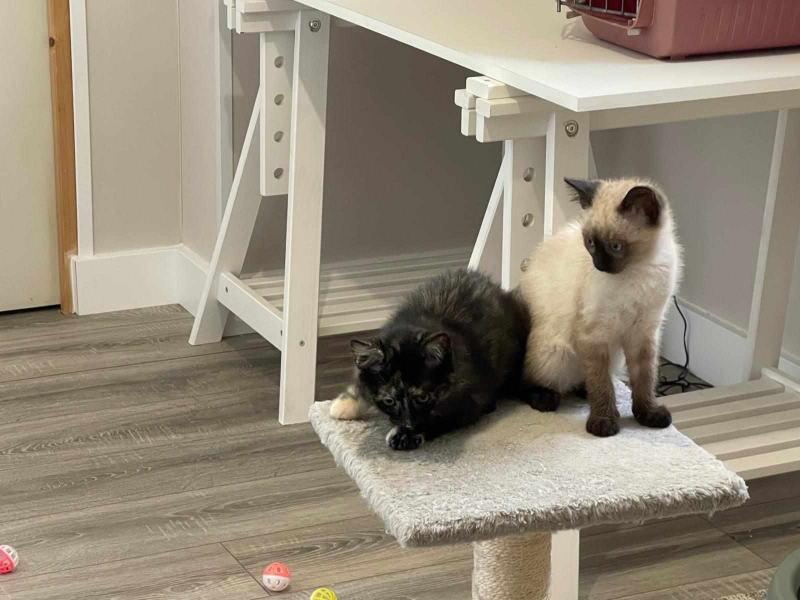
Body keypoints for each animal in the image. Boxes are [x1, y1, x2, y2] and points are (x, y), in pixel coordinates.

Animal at [329, 268, 532, 450]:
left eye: (423, 398)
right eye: (389, 401)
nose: (409, 423)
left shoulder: (472, 401)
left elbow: (440, 418)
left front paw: (405, 436)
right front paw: (344, 403)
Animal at [519, 177, 683, 437]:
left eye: (616, 246)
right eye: (590, 243)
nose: (599, 265)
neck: (639, 271)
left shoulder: (644, 333)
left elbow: (644, 379)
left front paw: (647, 414)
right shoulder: (594, 334)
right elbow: (601, 384)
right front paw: (603, 421)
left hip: (612, 356)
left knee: (585, 378)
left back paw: (582, 390)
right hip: (555, 354)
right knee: (523, 382)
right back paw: (546, 399)